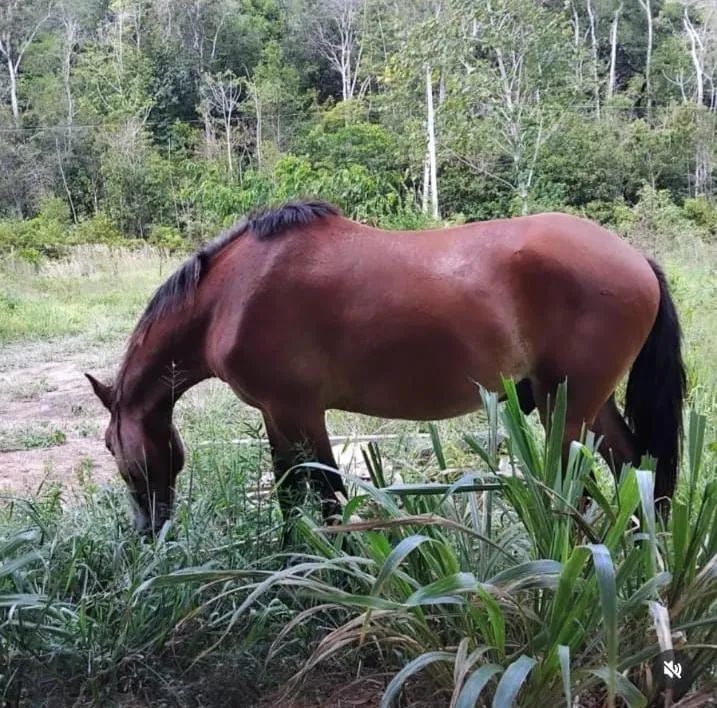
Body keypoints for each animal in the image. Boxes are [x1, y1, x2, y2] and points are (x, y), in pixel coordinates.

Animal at [86, 200, 686, 534]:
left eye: (115, 449)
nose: (148, 531)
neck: (231, 294)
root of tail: (637, 259)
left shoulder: (295, 412)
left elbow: (318, 495)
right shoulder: (281, 418)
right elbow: (293, 494)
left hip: (568, 409)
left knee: (579, 487)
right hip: (586, 404)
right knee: (636, 466)